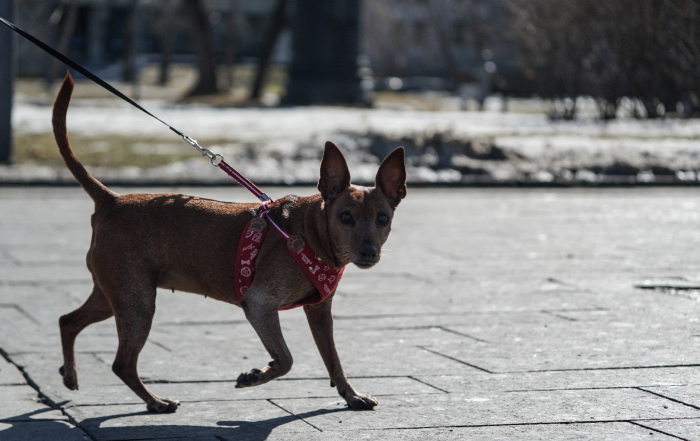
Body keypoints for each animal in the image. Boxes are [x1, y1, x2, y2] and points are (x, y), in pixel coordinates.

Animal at [52, 73, 408, 412]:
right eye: (345, 217)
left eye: (383, 218)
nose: (368, 252)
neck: (309, 233)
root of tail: (110, 200)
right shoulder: (260, 304)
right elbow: (286, 359)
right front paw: (256, 376)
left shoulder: (320, 312)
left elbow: (334, 360)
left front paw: (351, 396)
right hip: (136, 301)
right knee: (122, 363)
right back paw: (155, 402)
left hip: (114, 294)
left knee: (67, 321)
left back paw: (70, 375)